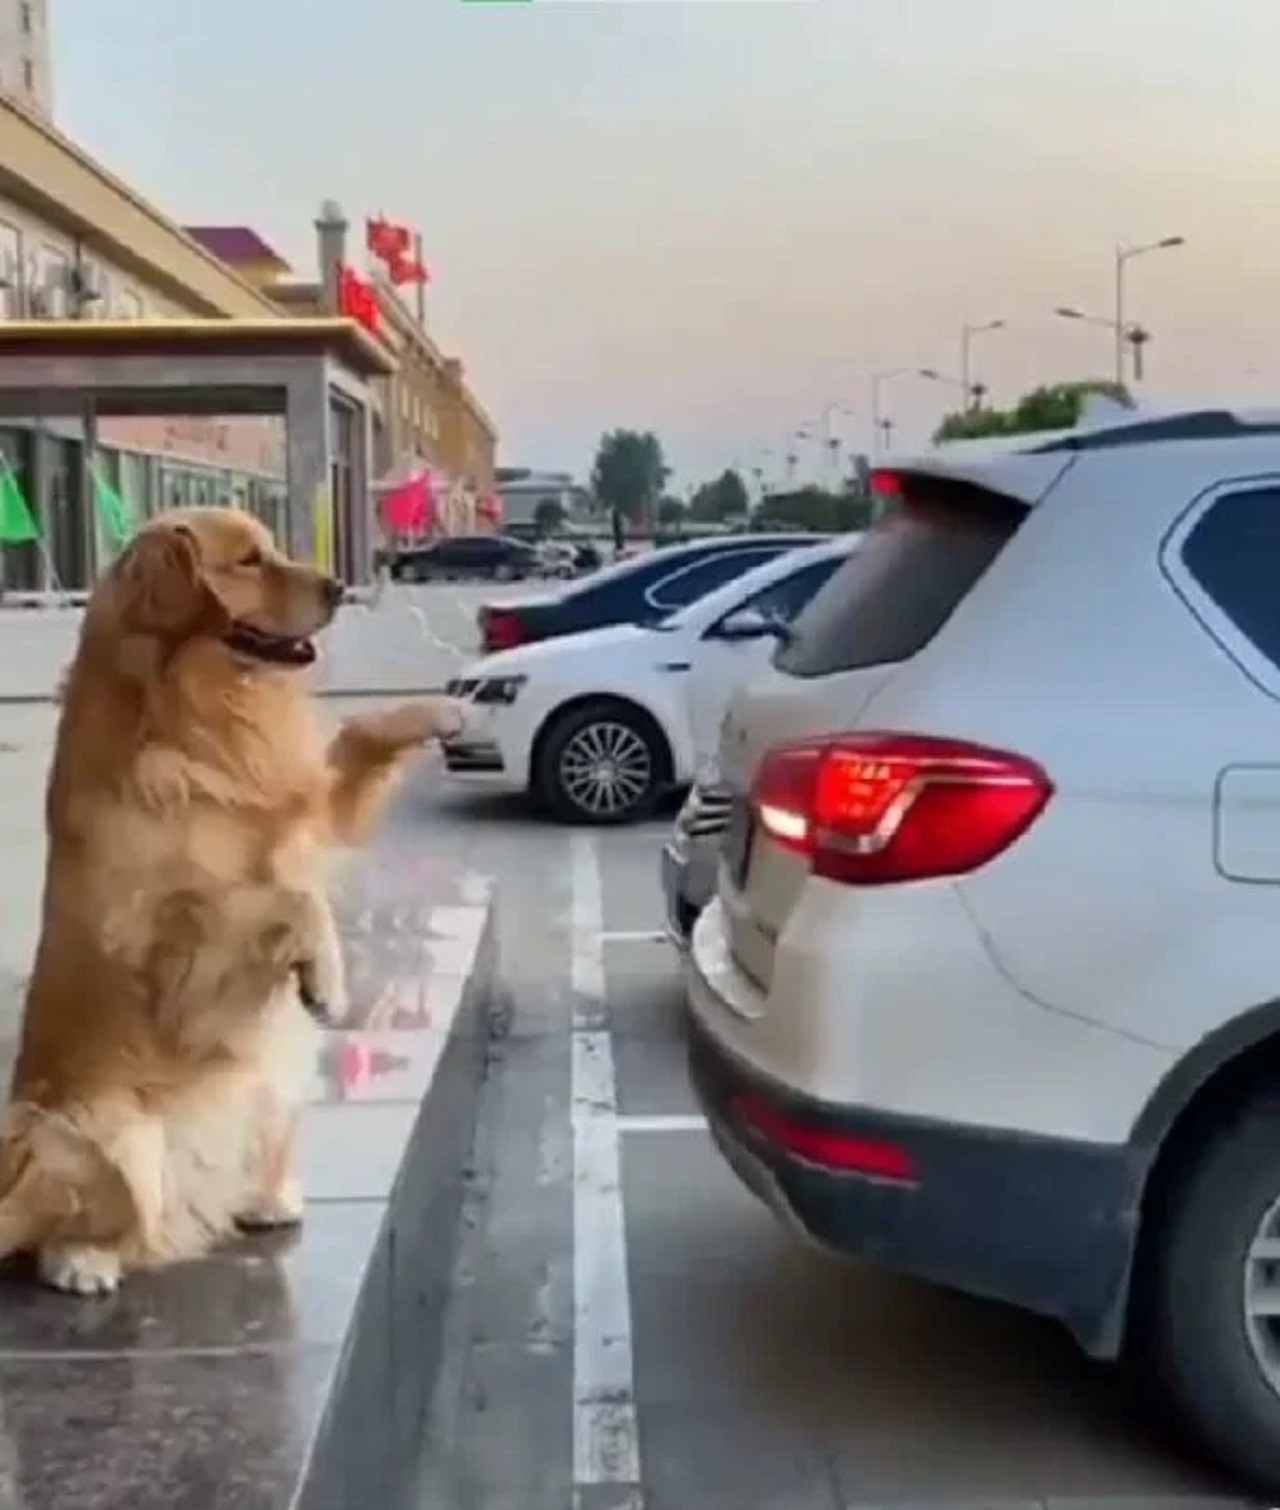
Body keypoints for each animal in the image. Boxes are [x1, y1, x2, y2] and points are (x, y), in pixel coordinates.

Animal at [0, 510, 464, 1298]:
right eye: (249, 561)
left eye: (273, 547)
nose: (336, 585)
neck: (204, 721)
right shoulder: (176, 956)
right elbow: (287, 899)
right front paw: (327, 975)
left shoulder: (310, 809)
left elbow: (357, 737)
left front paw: (445, 709)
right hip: (100, 1132)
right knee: (81, 1227)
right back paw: (83, 1258)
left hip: (274, 1085)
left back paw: (264, 1199)